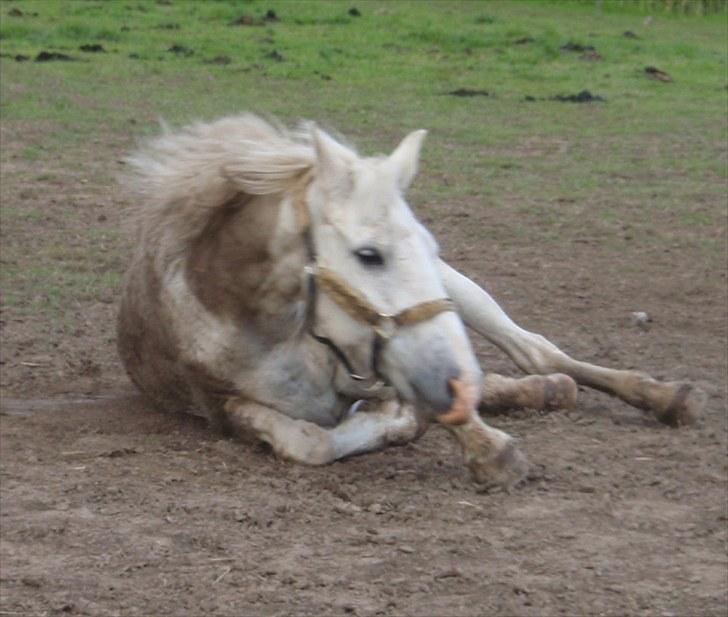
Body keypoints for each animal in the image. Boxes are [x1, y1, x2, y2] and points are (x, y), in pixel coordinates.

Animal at [115, 114, 704, 486]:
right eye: (368, 254)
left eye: (427, 241)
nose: (453, 384)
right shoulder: (221, 406)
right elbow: (309, 442)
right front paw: (394, 422)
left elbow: (444, 410)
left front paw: (486, 450)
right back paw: (547, 392)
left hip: (462, 293)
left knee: (535, 351)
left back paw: (662, 396)